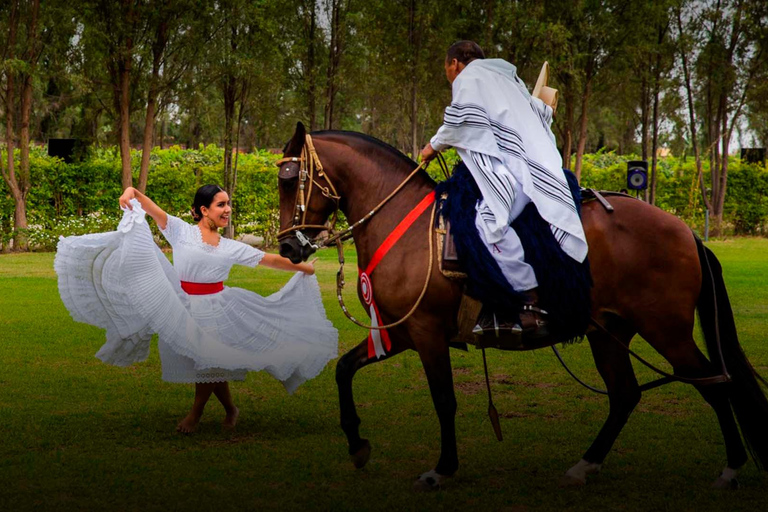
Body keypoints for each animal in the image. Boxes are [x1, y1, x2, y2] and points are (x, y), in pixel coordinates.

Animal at [276, 123, 768, 492]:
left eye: (292, 180)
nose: (289, 247)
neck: (404, 225)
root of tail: (685, 230)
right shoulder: (400, 331)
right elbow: (344, 370)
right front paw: (357, 445)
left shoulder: (427, 333)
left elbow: (444, 400)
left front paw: (442, 469)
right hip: (610, 331)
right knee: (626, 394)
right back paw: (585, 466)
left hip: (665, 329)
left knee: (713, 383)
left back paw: (731, 468)